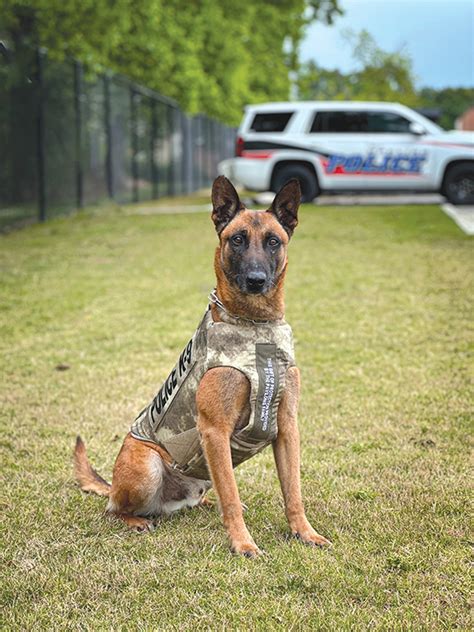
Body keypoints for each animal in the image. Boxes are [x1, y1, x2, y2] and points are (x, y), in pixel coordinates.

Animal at [76, 175, 332, 556]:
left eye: (273, 241)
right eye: (237, 239)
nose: (256, 279)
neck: (255, 327)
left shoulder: (286, 427)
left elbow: (293, 492)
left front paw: (304, 532)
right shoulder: (215, 431)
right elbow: (231, 493)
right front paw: (243, 543)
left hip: (202, 474)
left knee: (202, 497)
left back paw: (202, 504)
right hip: (148, 467)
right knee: (114, 508)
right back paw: (136, 520)